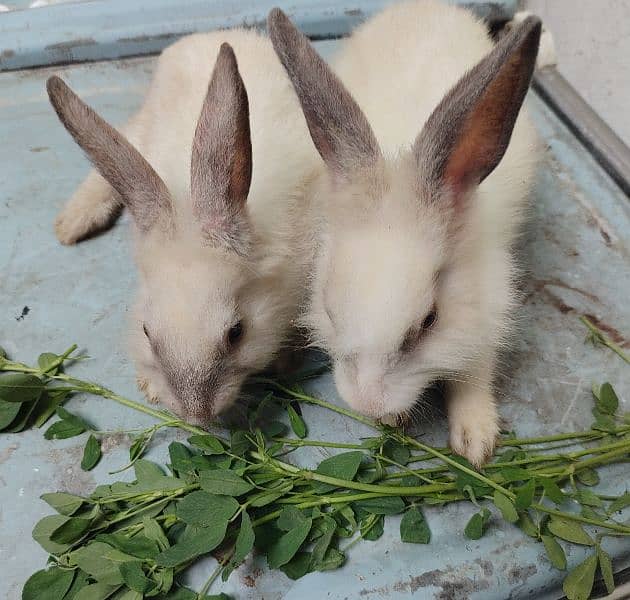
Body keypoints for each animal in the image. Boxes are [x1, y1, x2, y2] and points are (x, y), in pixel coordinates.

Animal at [48, 32, 320, 424]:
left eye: (236, 333)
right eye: (147, 332)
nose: (196, 417)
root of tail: (209, 34)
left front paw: (288, 359)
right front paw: (149, 387)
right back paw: (71, 224)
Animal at [270, 2, 544, 466]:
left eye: (429, 321)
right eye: (329, 310)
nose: (367, 402)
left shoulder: (485, 313)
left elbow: (473, 373)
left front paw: (476, 442)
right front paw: (392, 419)